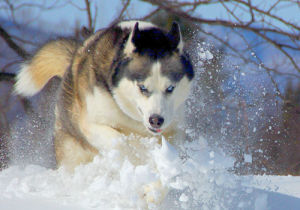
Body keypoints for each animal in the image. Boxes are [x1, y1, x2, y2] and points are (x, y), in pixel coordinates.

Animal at [15, 20, 195, 202]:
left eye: (170, 88)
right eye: (142, 87)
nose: (156, 120)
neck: (133, 120)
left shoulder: (173, 130)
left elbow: (169, 161)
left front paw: (153, 190)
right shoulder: (90, 124)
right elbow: (119, 141)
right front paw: (136, 163)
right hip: (72, 153)